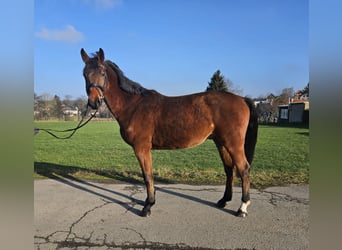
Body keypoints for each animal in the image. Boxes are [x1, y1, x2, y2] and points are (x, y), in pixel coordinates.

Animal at [79, 48, 256, 217]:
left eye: (102, 73)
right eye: (84, 74)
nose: (94, 103)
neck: (133, 105)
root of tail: (242, 99)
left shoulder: (141, 148)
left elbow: (147, 176)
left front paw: (148, 206)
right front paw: (150, 201)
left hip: (233, 144)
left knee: (244, 169)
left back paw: (242, 208)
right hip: (221, 142)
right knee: (229, 169)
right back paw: (224, 200)